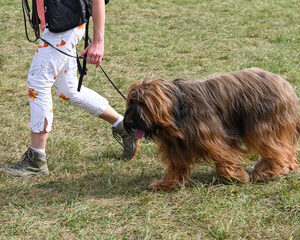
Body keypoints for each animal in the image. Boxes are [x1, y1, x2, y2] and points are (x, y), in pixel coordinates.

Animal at [123, 67, 298, 191]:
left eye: (143, 104)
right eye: (131, 101)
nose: (129, 123)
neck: (177, 108)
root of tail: (285, 84)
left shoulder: (213, 138)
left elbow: (225, 157)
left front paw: (237, 176)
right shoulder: (177, 146)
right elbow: (175, 167)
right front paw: (165, 185)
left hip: (262, 125)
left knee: (275, 149)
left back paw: (267, 171)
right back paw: (288, 166)